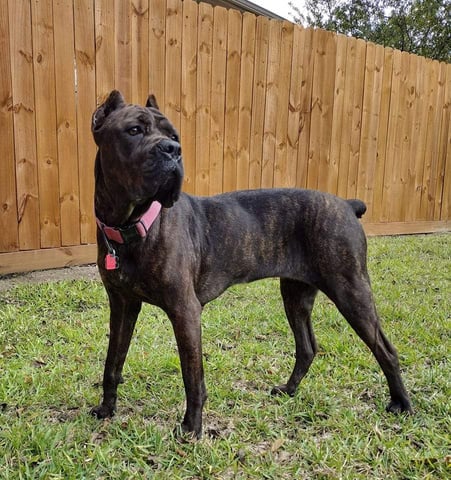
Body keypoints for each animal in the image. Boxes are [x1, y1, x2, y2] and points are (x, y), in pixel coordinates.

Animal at [90, 90, 412, 438]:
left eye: (174, 136)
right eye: (134, 130)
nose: (173, 150)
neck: (130, 226)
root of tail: (347, 205)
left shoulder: (185, 311)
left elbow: (192, 377)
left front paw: (192, 428)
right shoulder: (122, 306)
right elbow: (113, 362)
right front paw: (106, 409)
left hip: (350, 290)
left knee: (385, 349)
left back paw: (402, 404)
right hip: (296, 295)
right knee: (307, 347)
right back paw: (289, 390)